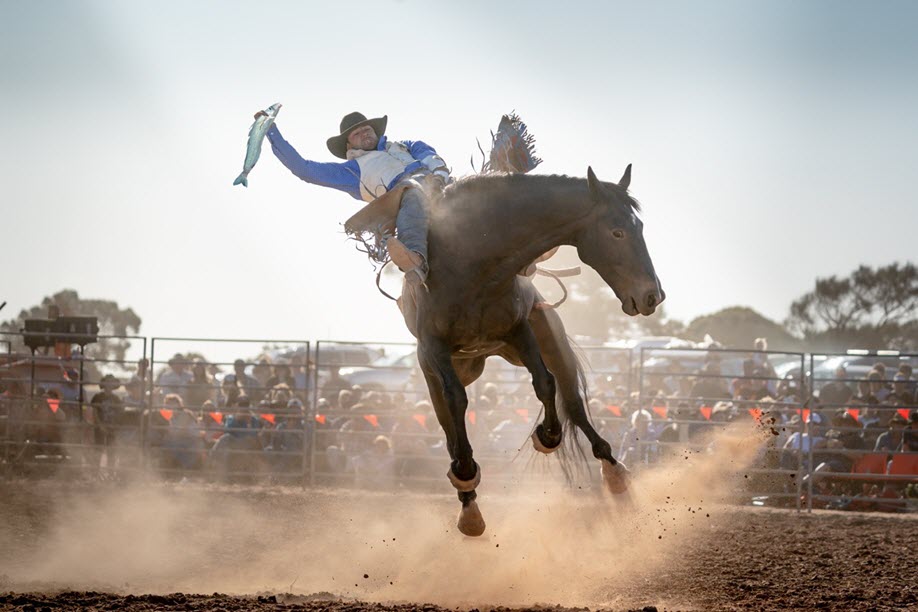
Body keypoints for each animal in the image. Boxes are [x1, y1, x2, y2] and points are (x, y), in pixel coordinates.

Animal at [348, 164, 664, 536]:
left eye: (639, 227)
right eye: (617, 232)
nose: (652, 296)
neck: (476, 260)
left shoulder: (519, 331)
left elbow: (545, 383)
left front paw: (548, 435)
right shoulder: (434, 346)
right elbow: (457, 402)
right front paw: (466, 474)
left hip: (551, 343)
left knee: (573, 403)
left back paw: (614, 471)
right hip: (434, 373)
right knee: (449, 427)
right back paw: (468, 503)